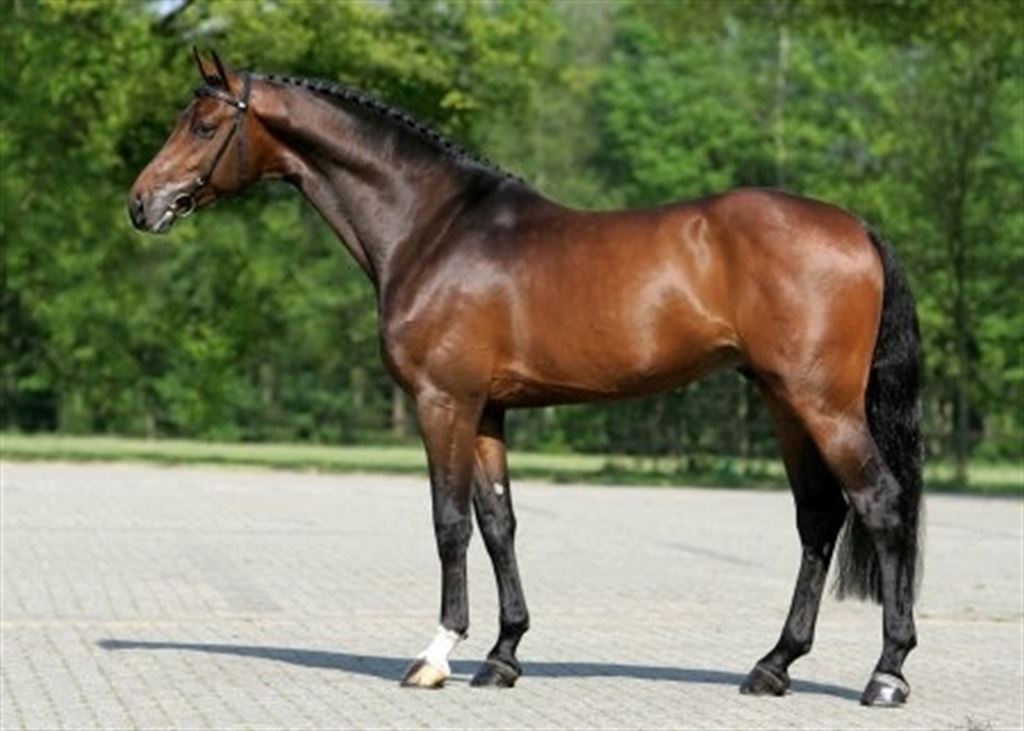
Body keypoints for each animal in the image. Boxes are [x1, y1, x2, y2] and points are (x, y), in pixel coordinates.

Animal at [129, 49, 923, 707]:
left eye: (204, 124)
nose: (143, 203)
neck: (433, 228)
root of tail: (858, 228)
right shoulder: (486, 411)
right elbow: (499, 523)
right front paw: (502, 654)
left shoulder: (443, 403)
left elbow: (449, 523)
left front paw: (436, 654)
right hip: (784, 400)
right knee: (818, 518)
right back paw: (773, 665)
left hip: (822, 403)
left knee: (880, 504)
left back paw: (886, 673)